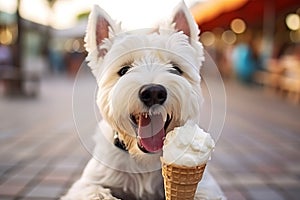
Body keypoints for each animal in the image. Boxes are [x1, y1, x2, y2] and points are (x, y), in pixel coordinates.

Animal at [62, 1, 226, 200]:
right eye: (124, 70)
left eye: (176, 69)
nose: (154, 92)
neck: (144, 160)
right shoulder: (87, 182)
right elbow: (95, 192)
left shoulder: (208, 185)